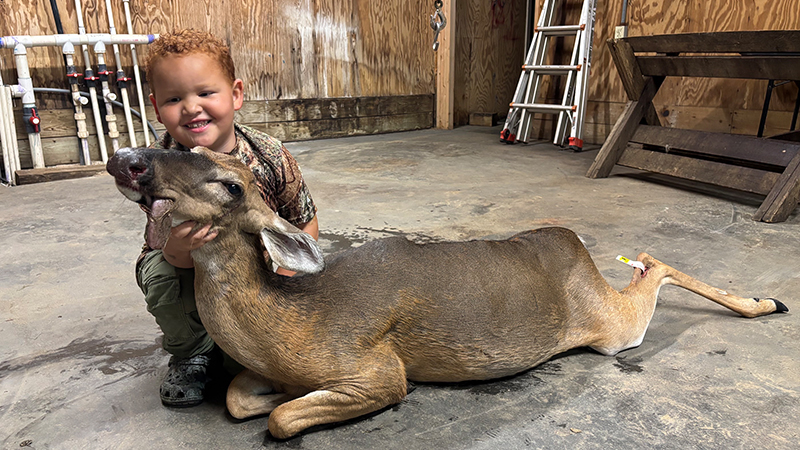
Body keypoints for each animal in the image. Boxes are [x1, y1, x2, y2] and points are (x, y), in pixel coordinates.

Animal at [107, 146, 788, 439]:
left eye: (230, 184)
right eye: (185, 144)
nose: (129, 157)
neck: (287, 322)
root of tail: (571, 244)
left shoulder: (379, 370)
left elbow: (276, 418)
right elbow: (240, 400)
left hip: (608, 326)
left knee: (656, 266)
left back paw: (767, 302)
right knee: (648, 263)